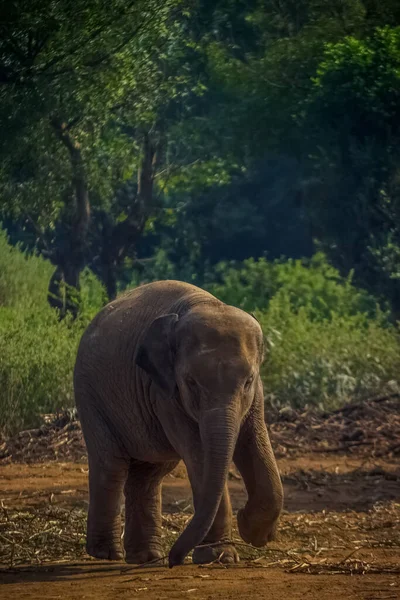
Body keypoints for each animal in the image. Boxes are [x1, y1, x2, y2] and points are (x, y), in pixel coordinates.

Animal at [73, 280, 282, 568]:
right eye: (191, 382)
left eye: (248, 381)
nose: (174, 560)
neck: (206, 303)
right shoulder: (164, 393)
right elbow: (199, 455)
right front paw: (219, 557)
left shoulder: (257, 394)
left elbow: (254, 442)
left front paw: (253, 533)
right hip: (90, 395)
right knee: (111, 466)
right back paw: (107, 554)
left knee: (148, 475)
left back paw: (147, 558)